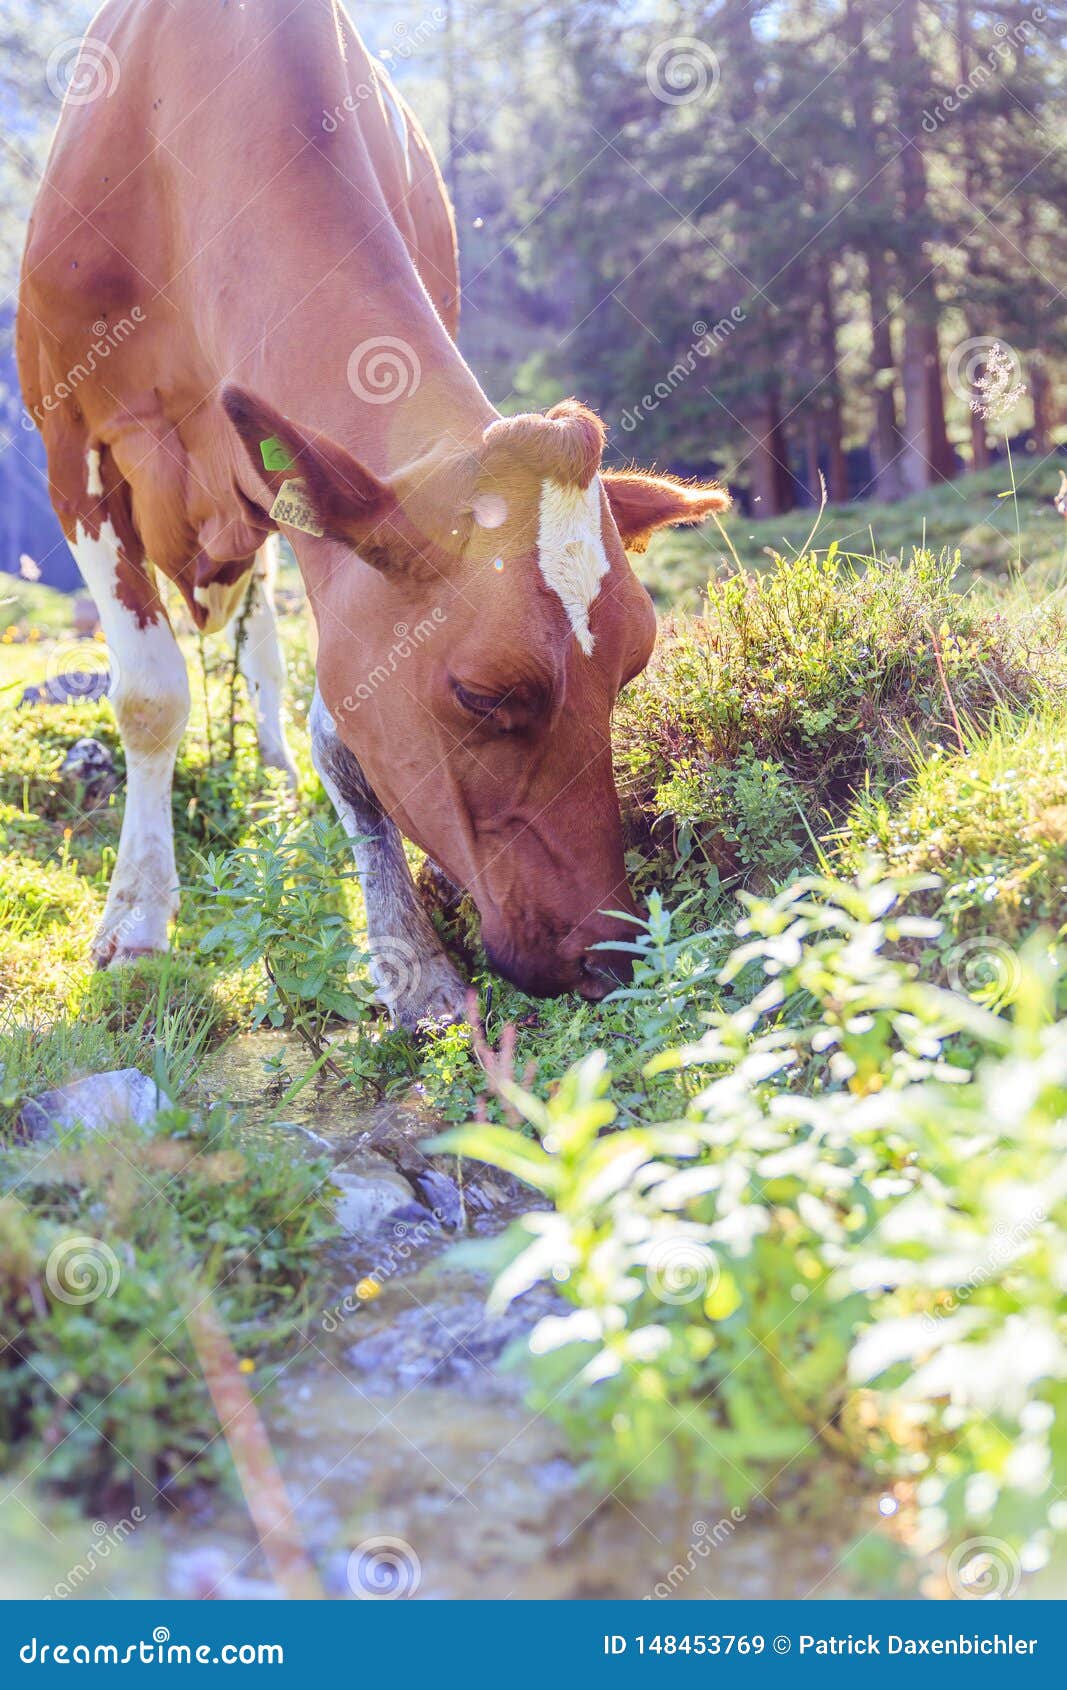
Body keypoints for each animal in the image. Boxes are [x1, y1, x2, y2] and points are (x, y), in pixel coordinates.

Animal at [18, 0, 733, 1027]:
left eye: (632, 669)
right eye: (482, 694)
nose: (609, 954)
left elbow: (340, 732)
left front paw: (411, 959)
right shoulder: (69, 441)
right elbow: (151, 697)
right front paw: (139, 920)